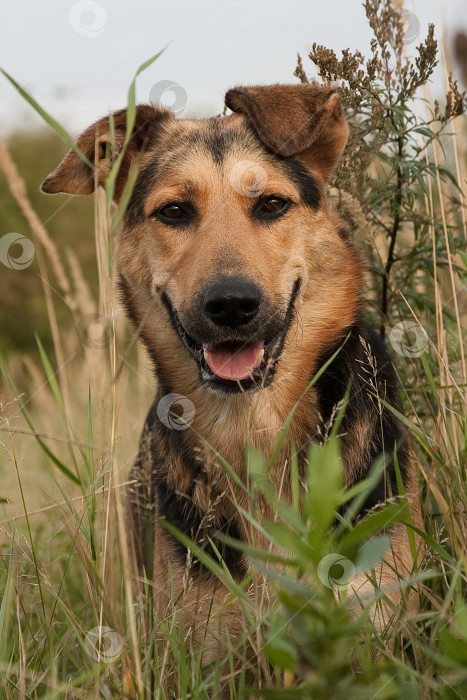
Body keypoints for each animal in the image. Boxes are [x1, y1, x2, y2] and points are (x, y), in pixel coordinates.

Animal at [42, 82, 422, 680]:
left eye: (272, 204)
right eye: (174, 211)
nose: (231, 305)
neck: (254, 427)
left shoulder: (376, 643)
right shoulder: (202, 657)